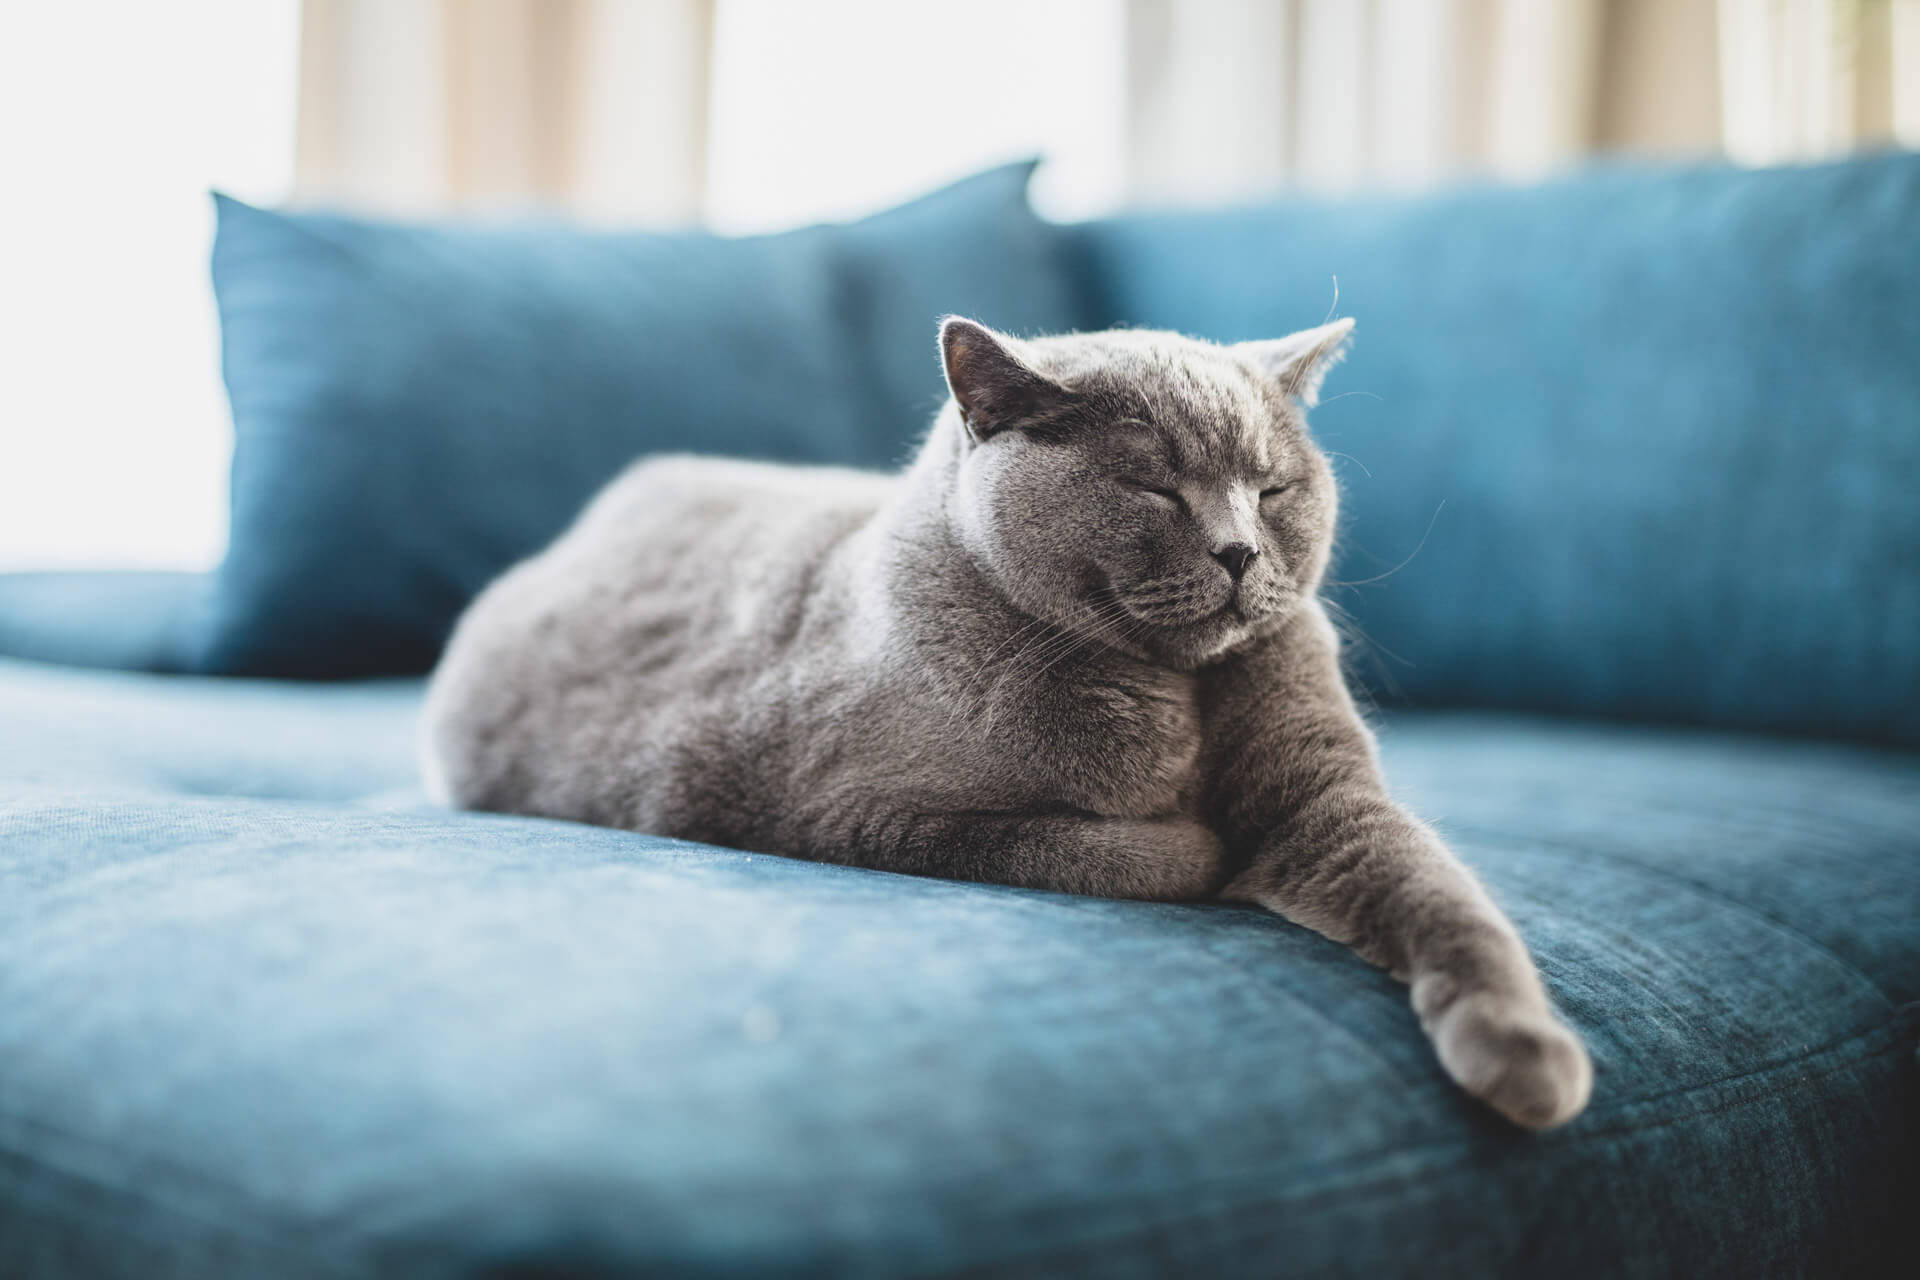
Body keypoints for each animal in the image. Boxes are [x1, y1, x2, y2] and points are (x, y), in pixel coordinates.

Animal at [428, 314, 1597, 1128]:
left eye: (1272, 489)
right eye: (1153, 487)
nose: (1239, 552)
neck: (1176, 693)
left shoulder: (1325, 791)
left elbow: (1438, 892)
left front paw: (1525, 1049)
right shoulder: (857, 813)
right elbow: (1123, 850)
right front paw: (1200, 840)